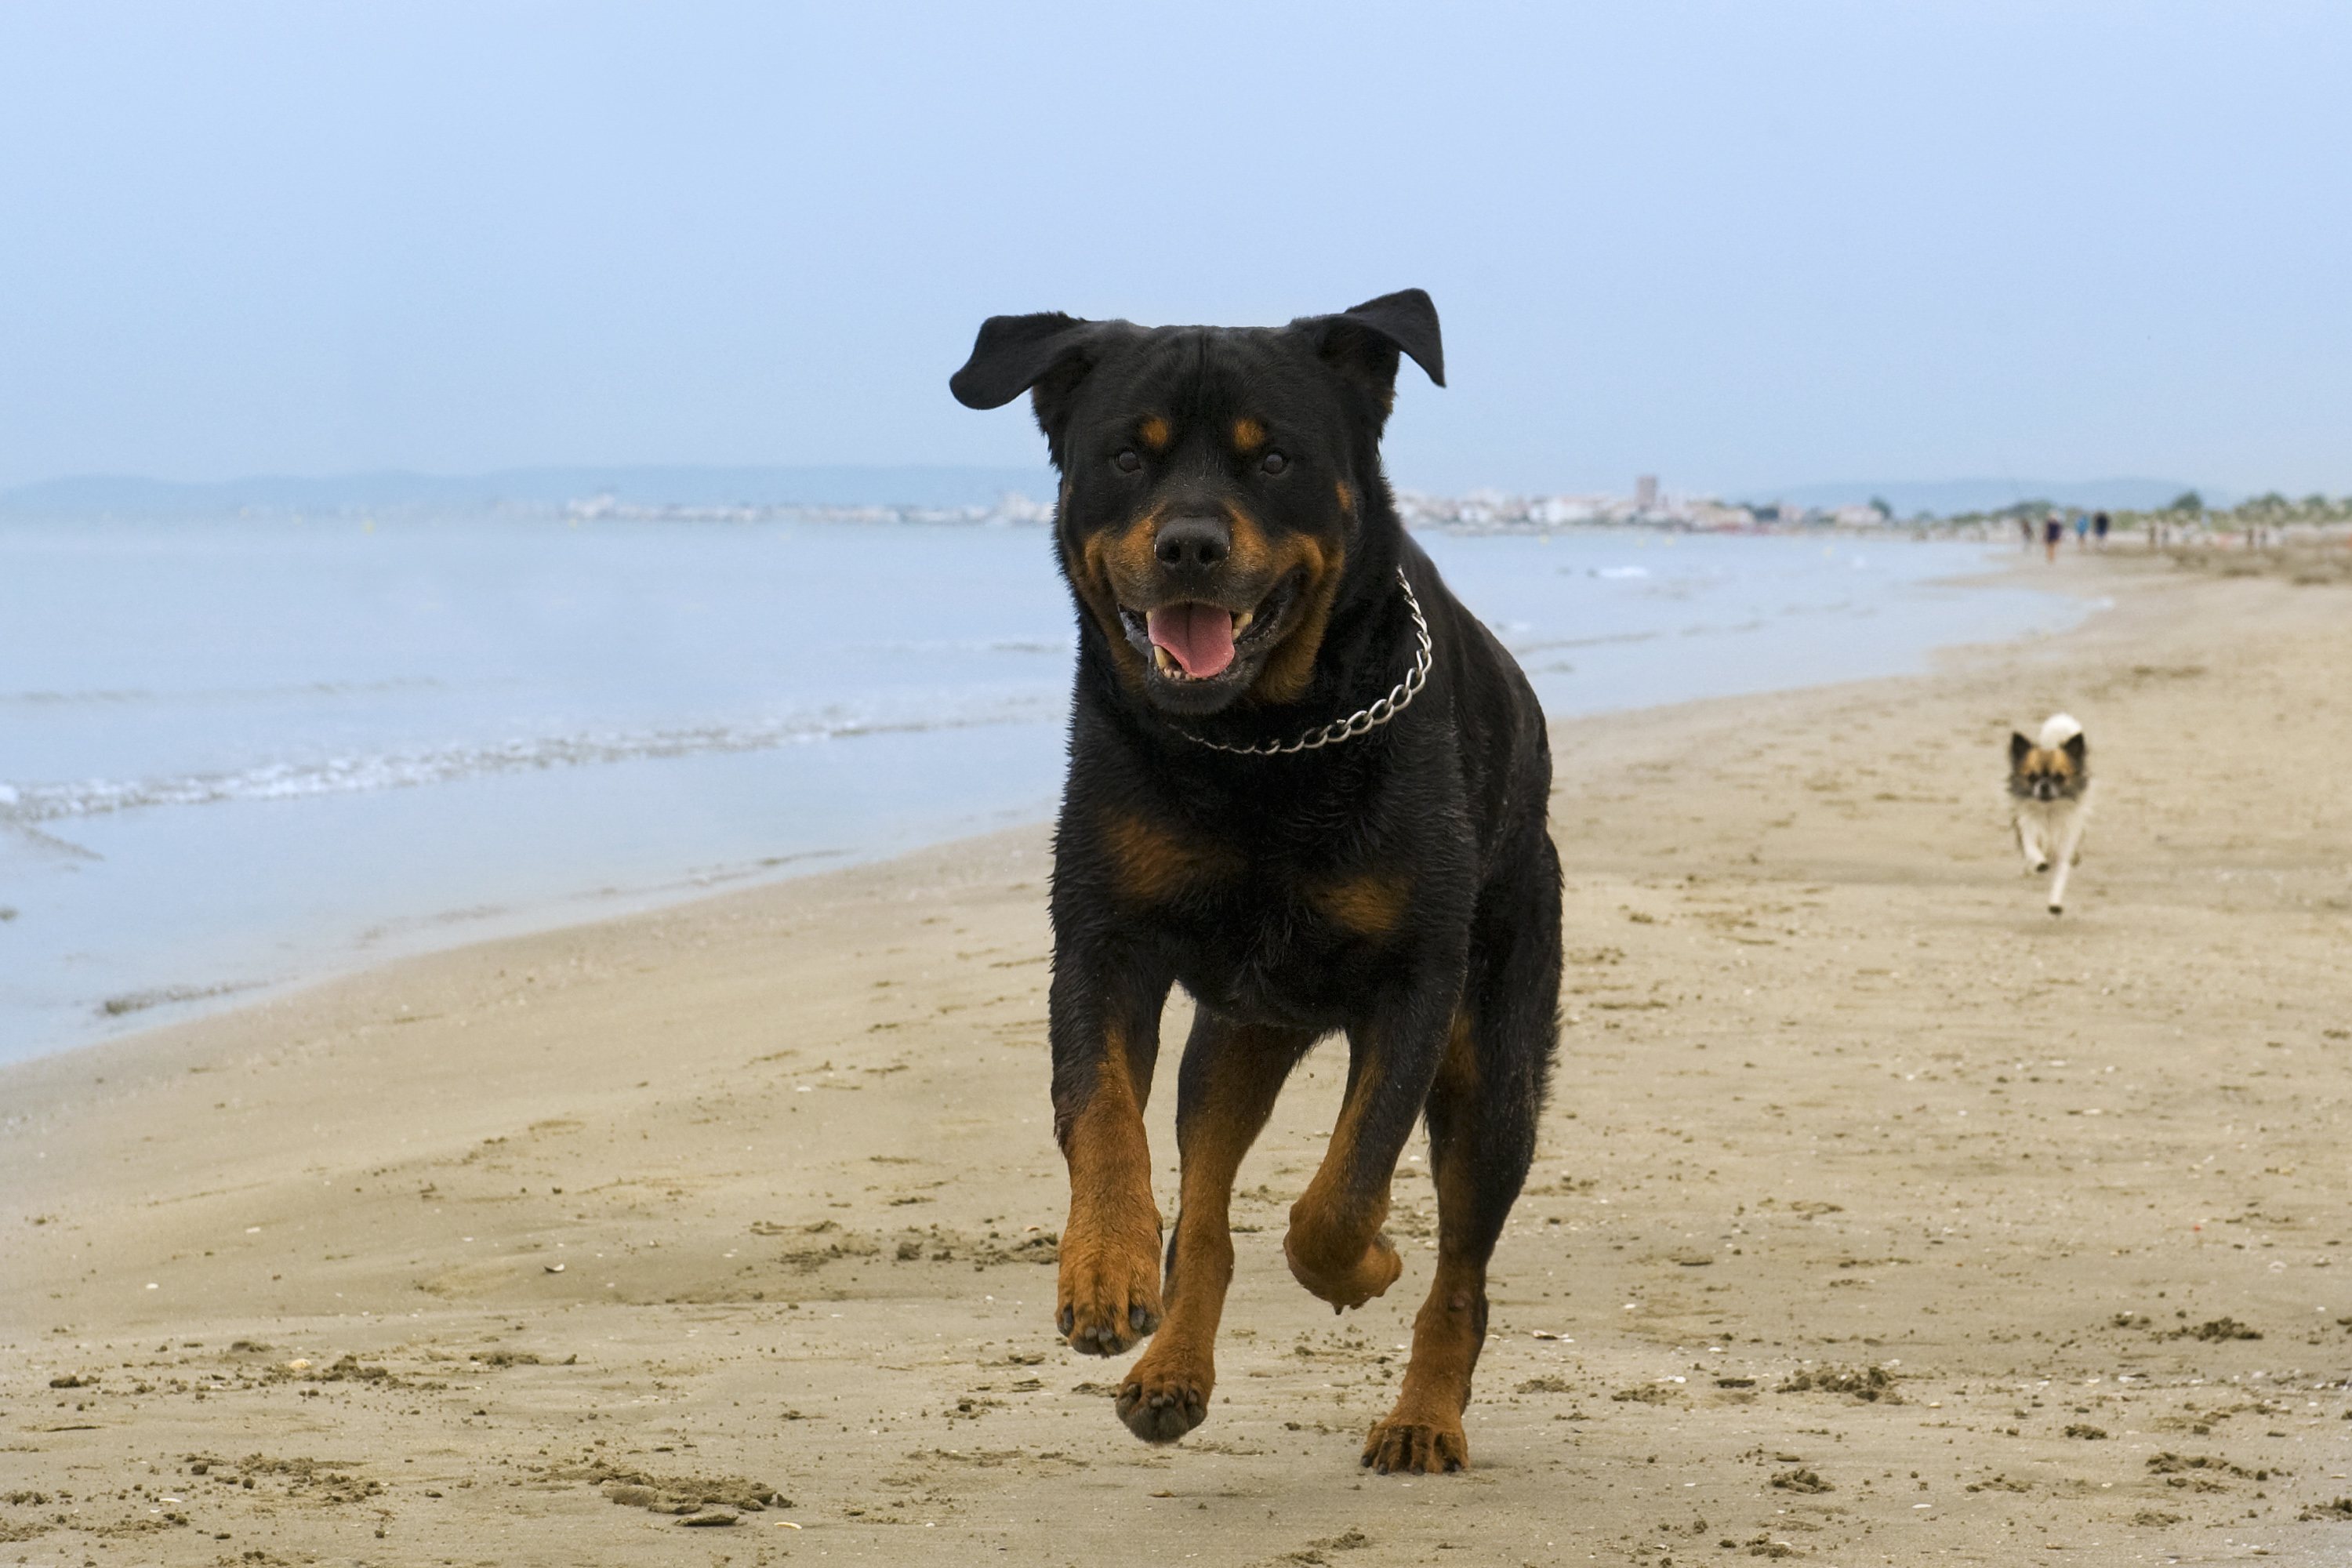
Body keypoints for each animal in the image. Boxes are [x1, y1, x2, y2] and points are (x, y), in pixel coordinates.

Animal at [946, 291, 1552, 1476]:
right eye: (1126, 458)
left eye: (1273, 458)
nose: (1190, 543)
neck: (1260, 747)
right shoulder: (1103, 937)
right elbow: (1100, 1111)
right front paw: (1103, 1265)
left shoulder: (1417, 980)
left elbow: (1345, 1191)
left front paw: (1367, 1263)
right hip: (1235, 1040)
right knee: (1208, 1208)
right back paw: (1171, 1370)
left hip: (1496, 1065)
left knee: (1464, 1268)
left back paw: (1425, 1416)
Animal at [2004, 714, 2098, 921]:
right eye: (2032, 777)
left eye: (2059, 777)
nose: (2044, 785)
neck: (2049, 810)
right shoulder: (2027, 831)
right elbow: (2033, 850)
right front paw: (2039, 863)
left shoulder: (2065, 849)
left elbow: (2060, 877)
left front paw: (2055, 903)